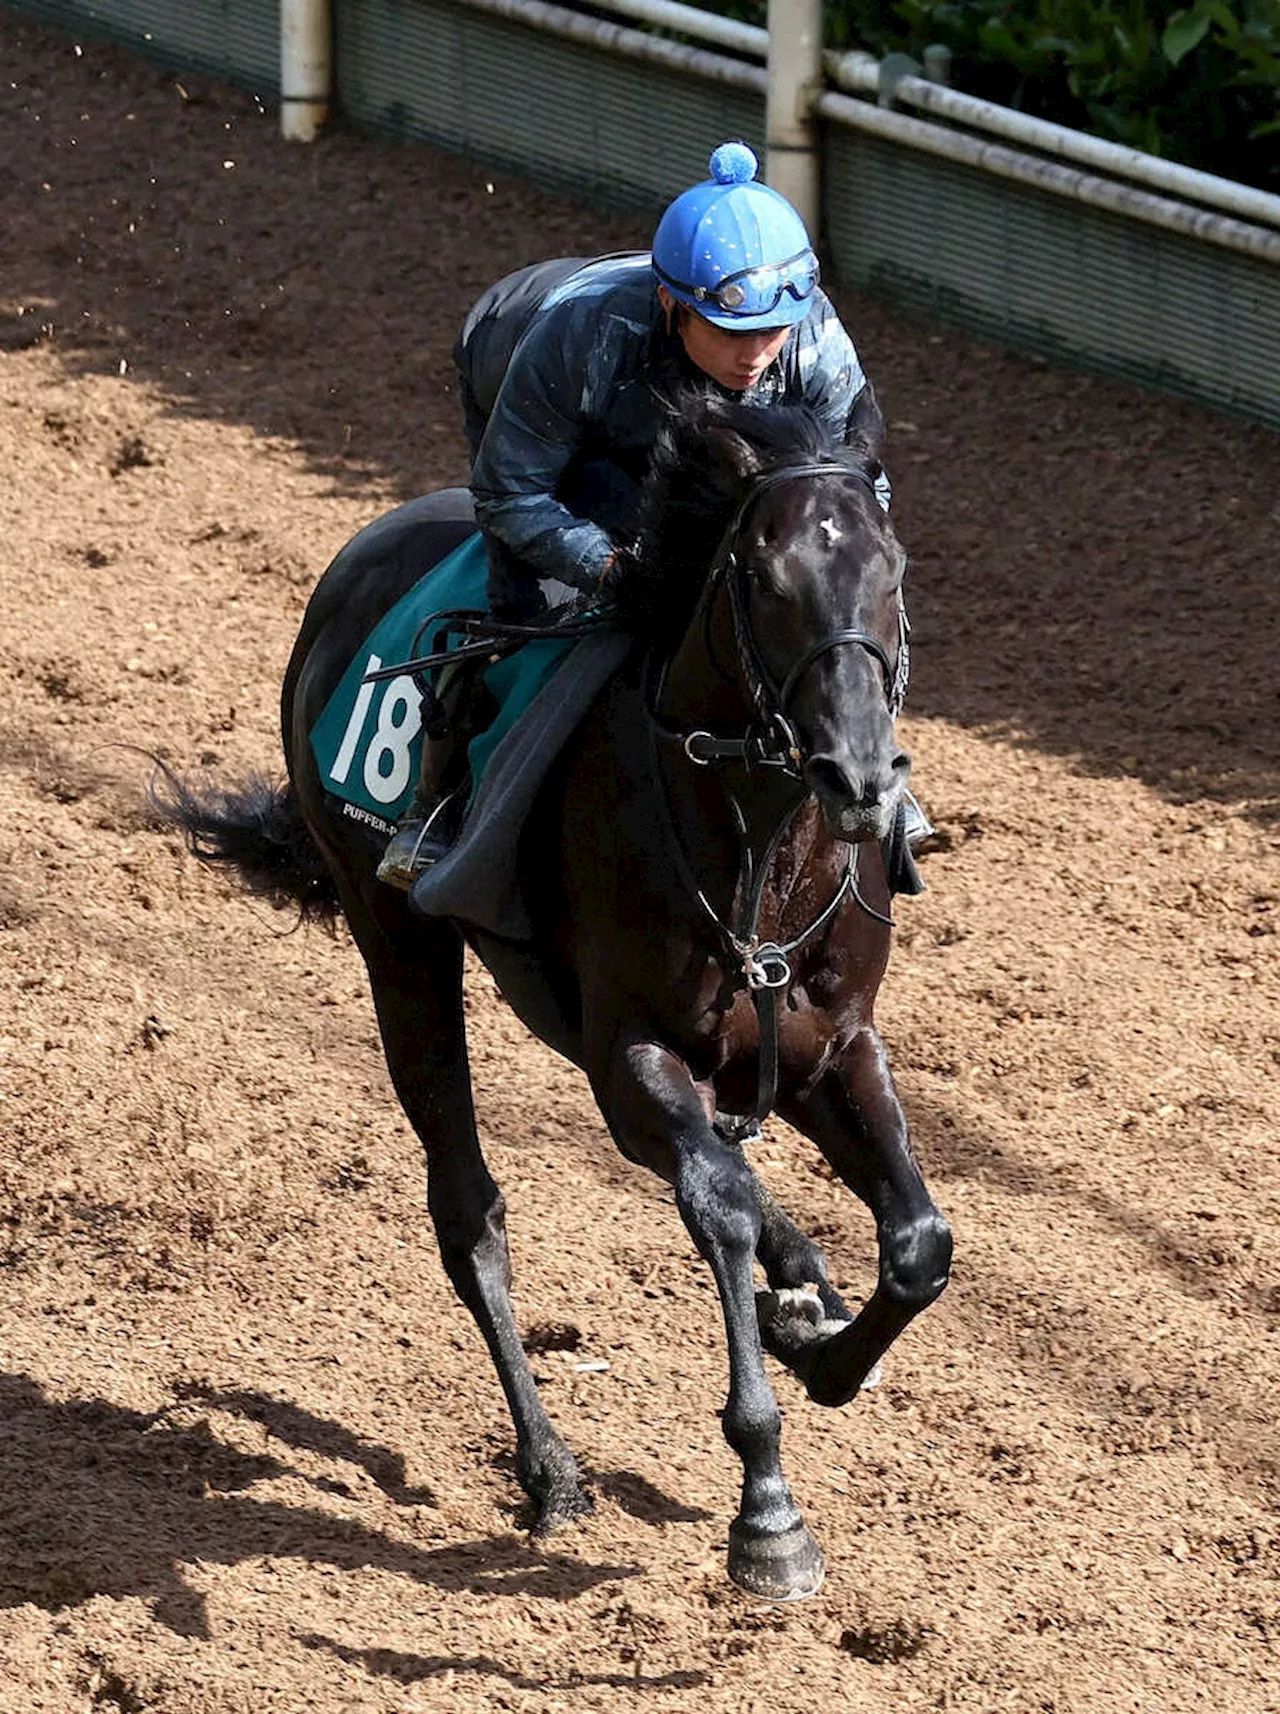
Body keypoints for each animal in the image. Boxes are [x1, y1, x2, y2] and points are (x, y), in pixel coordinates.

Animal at [162, 394, 952, 1597]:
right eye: (765, 577)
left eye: (892, 570)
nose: (859, 778)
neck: (757, 840)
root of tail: (363, 551)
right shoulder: (632, 1051)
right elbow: (716, 1204)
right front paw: (767, 1508)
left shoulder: (832, 1044)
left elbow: (916, 1242)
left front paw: (824, 1352)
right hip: (397, 940)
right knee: (469, 1212)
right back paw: (551, 1468)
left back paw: (800, 1290)